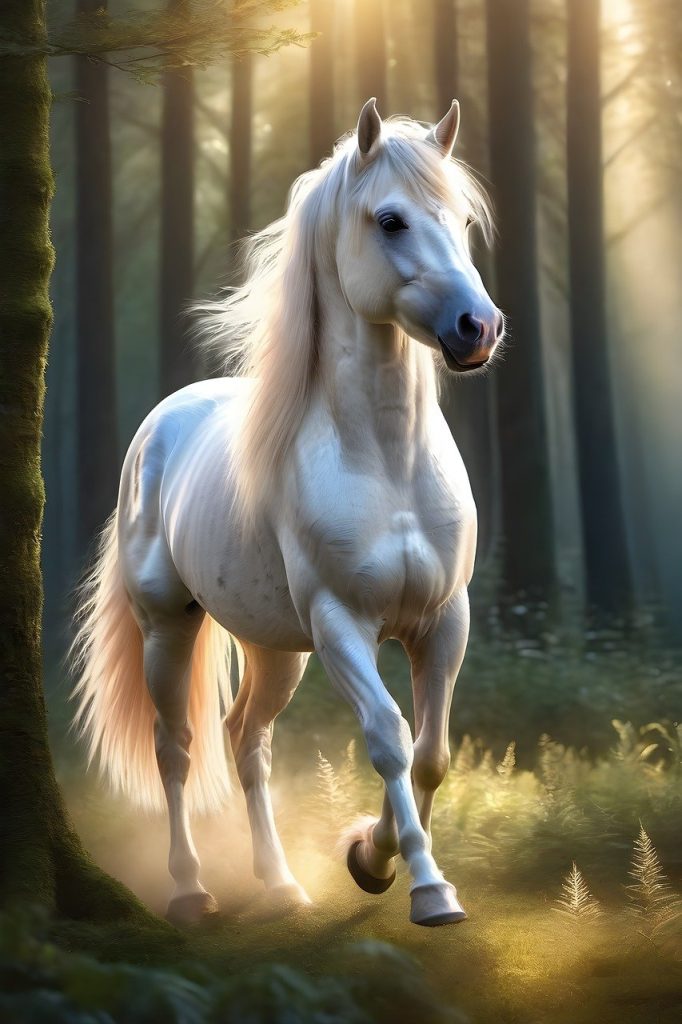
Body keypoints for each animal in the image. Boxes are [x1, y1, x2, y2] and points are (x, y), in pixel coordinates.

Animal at [72, 98, 503, 928]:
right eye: (390, 220)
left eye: (464, 220)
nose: (480, 328)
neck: (385, 461)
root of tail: (159, 426)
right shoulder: (341, 624)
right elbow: (389, 737)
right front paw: (425, 887)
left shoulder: (446, 619)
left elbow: (432, 752)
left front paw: (369, 858)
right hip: (169, 628)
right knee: (176, 747)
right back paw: (190, 889)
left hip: (276, 649)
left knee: (247, 740)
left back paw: (280, 884)